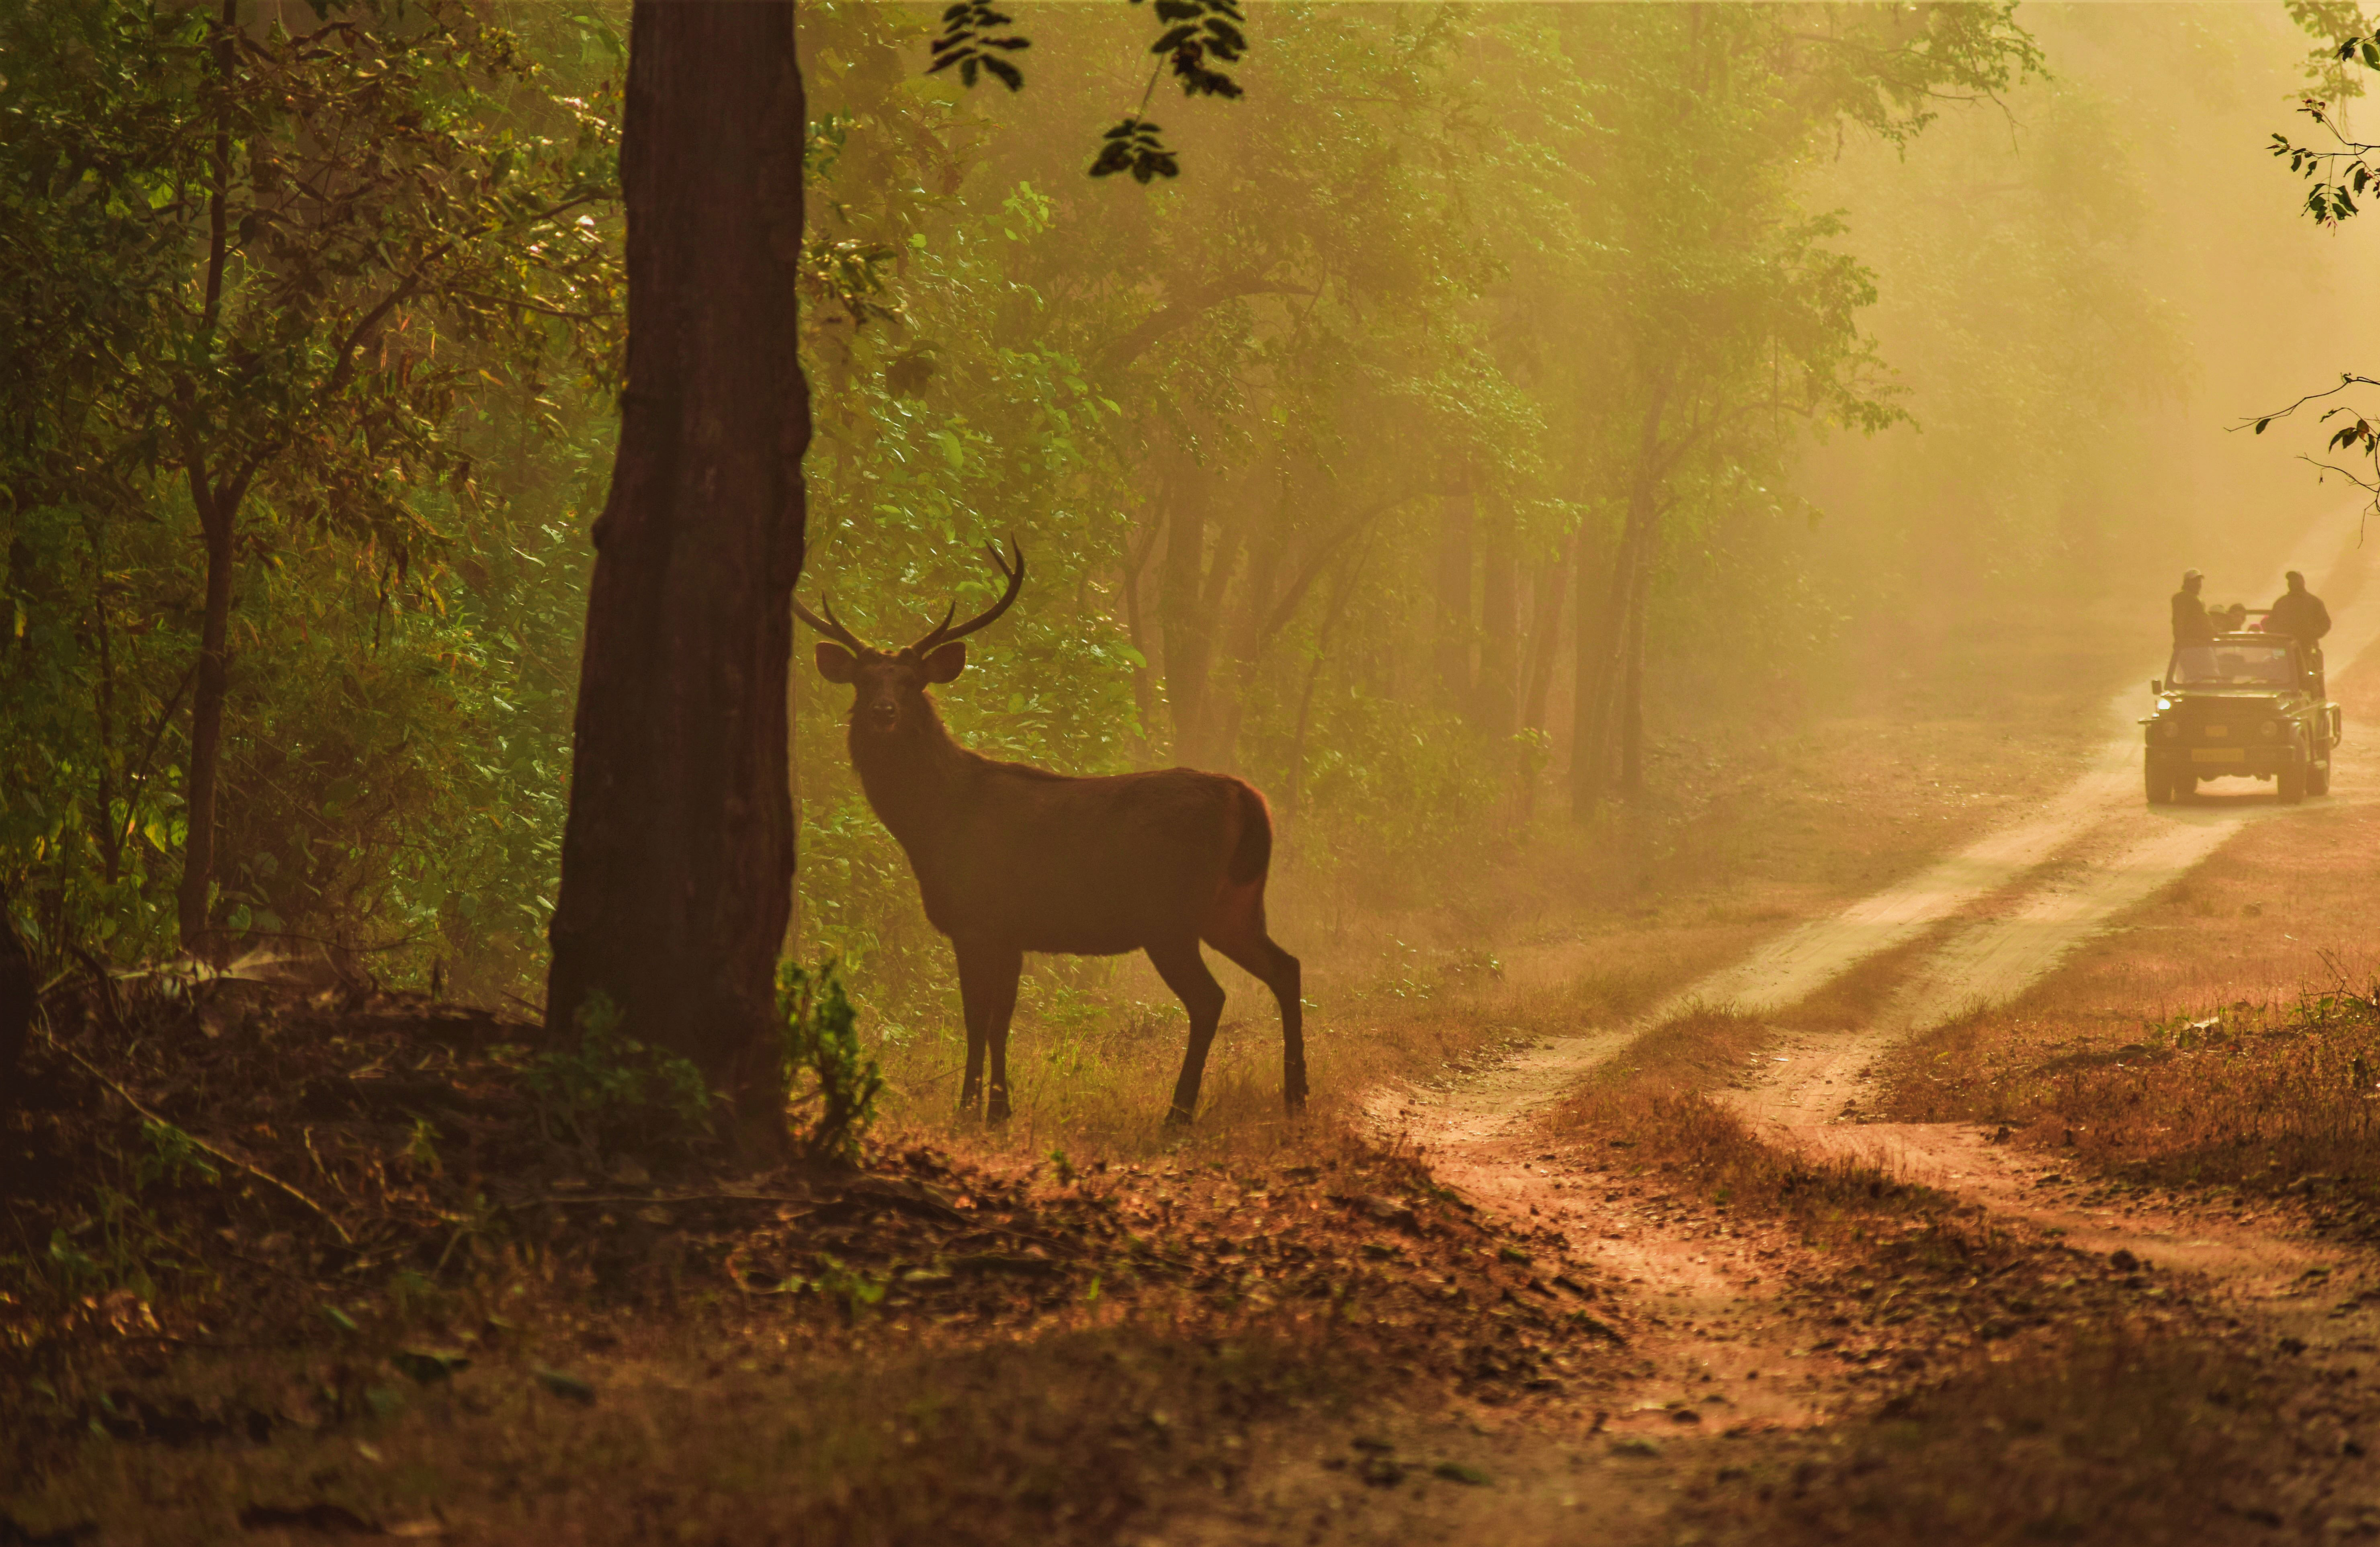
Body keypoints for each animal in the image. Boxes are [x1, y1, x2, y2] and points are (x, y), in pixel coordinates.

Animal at [794, 541, 1306, 1126]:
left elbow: (976, 1016)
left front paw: (967, 1108)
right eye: (863, 680)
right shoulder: (1012, 931)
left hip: (1170, 914)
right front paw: (999, 1109)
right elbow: (1001, 1019)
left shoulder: (976, 918)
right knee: (1286, 967)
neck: (932, 824)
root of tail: (1248, 800)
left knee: (1209, 997)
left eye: (910, 681)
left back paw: (1178, 1112)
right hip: (1234, 905)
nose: (883, 712)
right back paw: (1295, 1095)